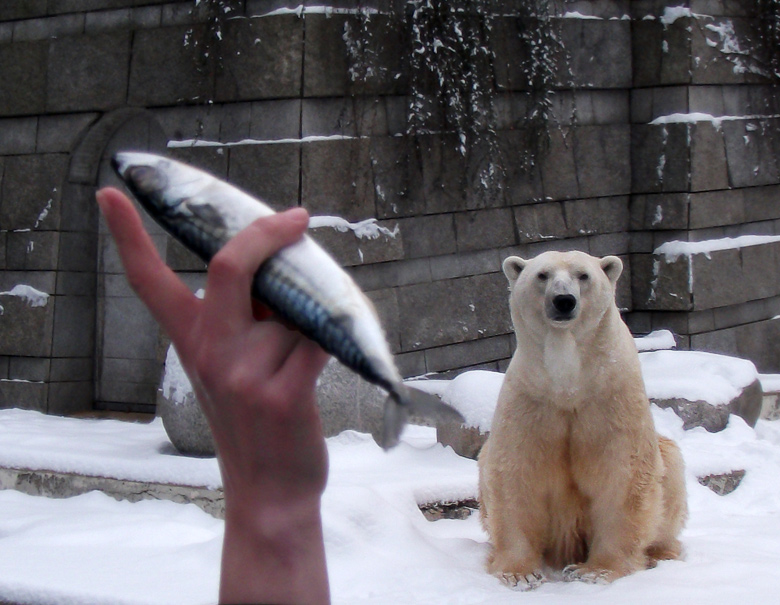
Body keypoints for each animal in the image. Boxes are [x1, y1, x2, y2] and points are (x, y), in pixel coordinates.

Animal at [478, 250, 684, 588]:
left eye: (583, 275)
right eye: (542, 275)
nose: (563, 301)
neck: (569, 383)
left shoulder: (610, 399)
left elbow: (622, 474)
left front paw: (595, 570)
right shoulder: (531, 399)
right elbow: (515, 474)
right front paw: (519, 573)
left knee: (670, 473)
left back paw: (660, 554)